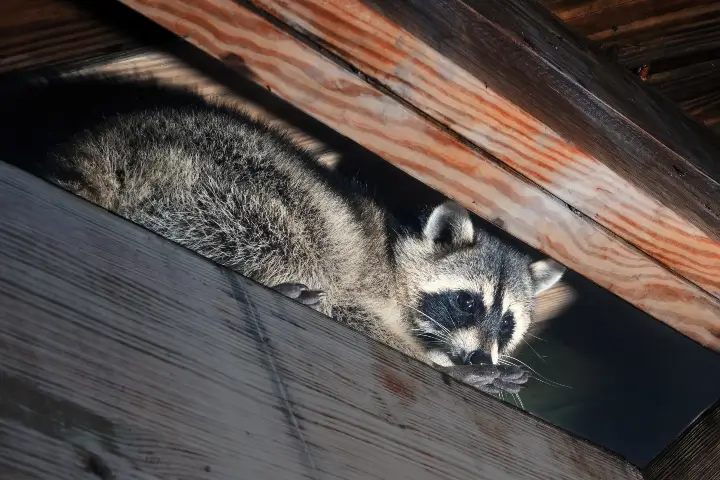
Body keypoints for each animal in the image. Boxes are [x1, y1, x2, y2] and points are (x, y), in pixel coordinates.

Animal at [0, 75, 564, 396]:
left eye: (508, 322)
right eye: (467, 302)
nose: (479, 358)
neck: (396, 257)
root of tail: (109, 140)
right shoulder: (365, 281)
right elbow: (351, 309)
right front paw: (437, 362)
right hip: (219, 178)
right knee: (284, 232)